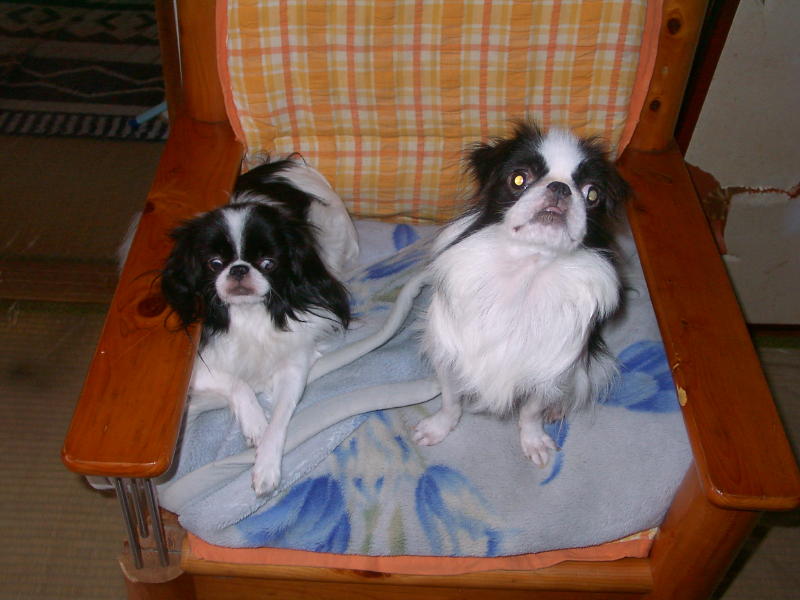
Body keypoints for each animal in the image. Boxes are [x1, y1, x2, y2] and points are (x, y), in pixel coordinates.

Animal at [161, 156, 358, 495]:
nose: (239, 269)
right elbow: (235, 382)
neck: (249, 314)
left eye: (268, 263)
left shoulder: (294, 365)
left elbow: (279, 420)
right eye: (214, 264)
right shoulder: (199, 367)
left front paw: (266, 465)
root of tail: (286, 164)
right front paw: (255, 422)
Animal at [414, 122, 628, 467]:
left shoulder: (548, 369)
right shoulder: (450, 354)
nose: (560, 188)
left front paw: (534, 441)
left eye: (592, 194)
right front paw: (438, 428)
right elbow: (450, 400)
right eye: (518, 178)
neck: (528, 270)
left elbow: (530, 411)